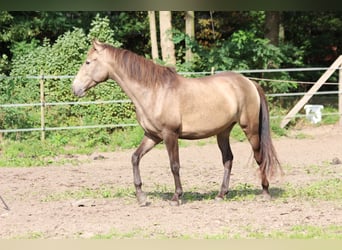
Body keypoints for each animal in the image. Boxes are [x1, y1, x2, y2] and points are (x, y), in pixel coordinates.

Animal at [72, 40, 280, 206]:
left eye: (88, 62)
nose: (75, 88)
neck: (154, 92)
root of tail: (249, 82)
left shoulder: (169, 135)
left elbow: (174, 165)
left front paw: (176, 197)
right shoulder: (152, 136)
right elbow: (135, 158)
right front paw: (142, 197)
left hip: (250, 129)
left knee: (259, 157)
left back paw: (265, 192)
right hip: (223, 132)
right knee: (228, 159)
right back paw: (221, 195)